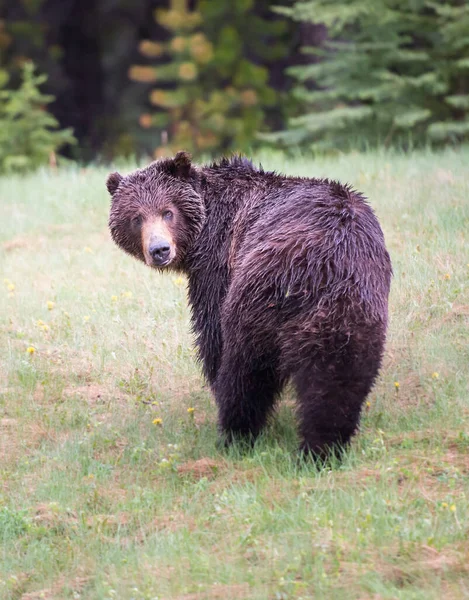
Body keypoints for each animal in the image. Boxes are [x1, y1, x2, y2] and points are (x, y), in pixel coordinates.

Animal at [107, 152, 392, 458]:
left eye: (167, 212)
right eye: (136, 217)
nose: (159, 250)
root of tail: (316, 272)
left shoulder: (218, 263)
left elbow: (211, 333)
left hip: (255, 299)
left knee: (245, 371)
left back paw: (235, 435)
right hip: (353, 313)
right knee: (337, 381)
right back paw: (320, 449)